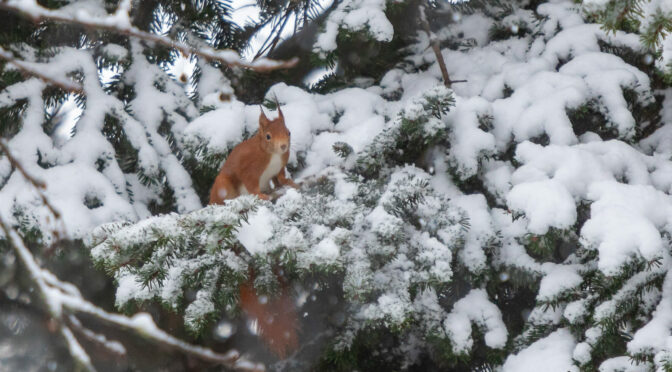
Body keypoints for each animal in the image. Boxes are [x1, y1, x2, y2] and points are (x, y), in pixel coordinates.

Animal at [207, 104, 296, 358]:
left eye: (288, 132)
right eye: (267, 136)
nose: (284, 147)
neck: (270, 155)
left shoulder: (279, 167)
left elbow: (280, 177)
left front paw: (291, 183)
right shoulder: (249, 170)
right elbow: (252, 184)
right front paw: (260, 196)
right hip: (224, 185)